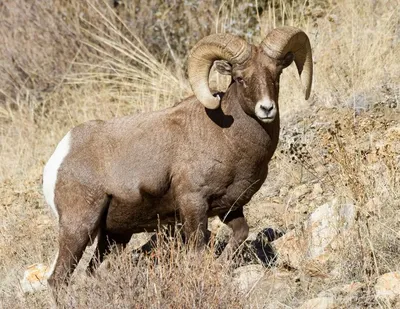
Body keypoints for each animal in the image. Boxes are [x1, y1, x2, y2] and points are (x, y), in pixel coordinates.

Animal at [43, 25, 312, 288]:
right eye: (240, 78)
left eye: (276, 74)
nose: (266, 109)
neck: (227, 138)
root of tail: (59, 157)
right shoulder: (193, 203)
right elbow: (198, 250)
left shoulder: (231, 207)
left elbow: (241, 234)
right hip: (79, 228)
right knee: (58, 279)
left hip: (114, 237)